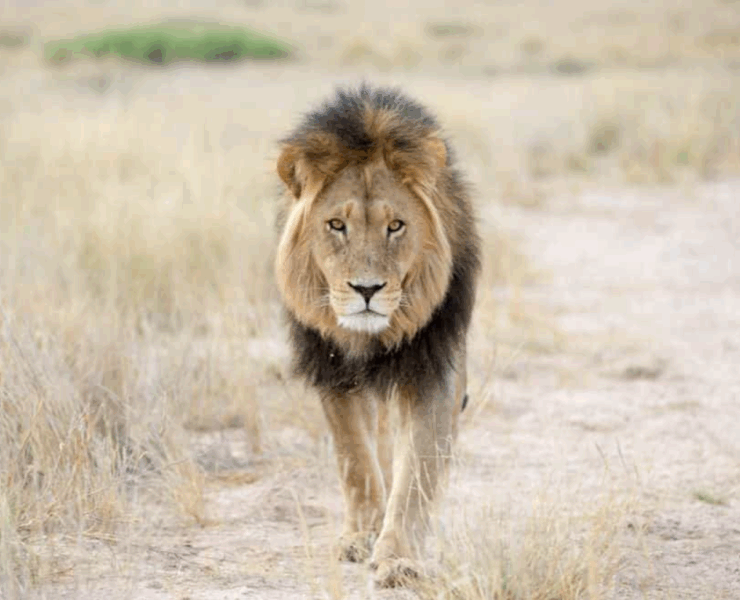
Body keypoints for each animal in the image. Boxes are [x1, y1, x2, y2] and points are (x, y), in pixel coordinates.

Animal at [274, 84, 480, 587]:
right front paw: (361, 536)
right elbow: (355, 458)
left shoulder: (433, 371)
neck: (371, 340)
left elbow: (417, 472)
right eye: (336, 225)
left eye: (396, 225)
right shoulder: (333, 371)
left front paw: (399, 557)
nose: (366, 290)